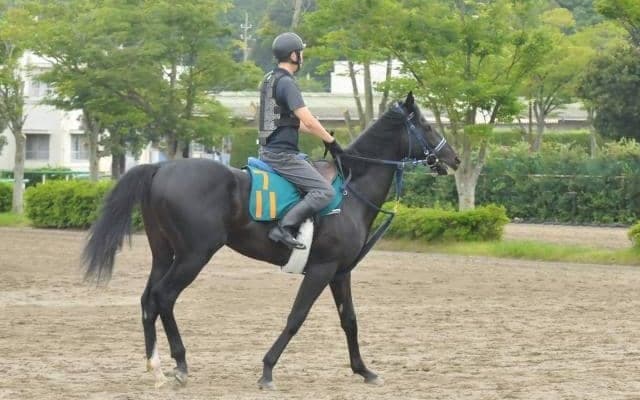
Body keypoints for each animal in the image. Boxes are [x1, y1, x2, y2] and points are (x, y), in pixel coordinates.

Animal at [82, 92, 461, 390]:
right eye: (427, 126)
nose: (453, 158)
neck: (352, 187)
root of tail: (161, 168)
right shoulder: (321, 270)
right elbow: (296, 317)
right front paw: (267, 370)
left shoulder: (340, 273)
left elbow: (349, 320)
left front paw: (363, 370)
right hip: (193, 256)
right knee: (164, 297)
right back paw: (180, 365)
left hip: (164, 254)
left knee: (148, 299)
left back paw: (156, 368)